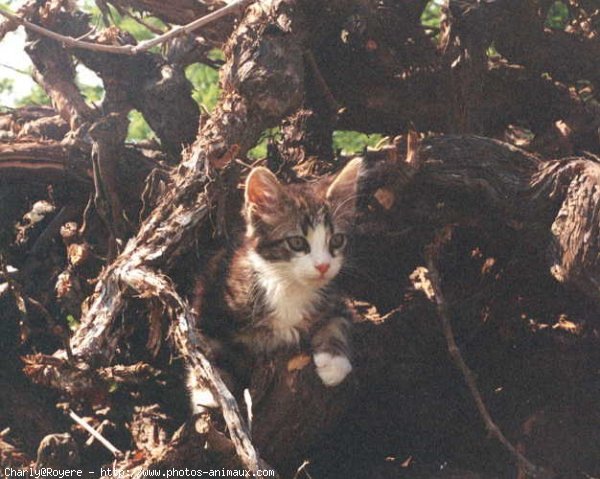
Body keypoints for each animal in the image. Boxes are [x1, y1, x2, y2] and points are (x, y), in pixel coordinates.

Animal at [188, 158, 360, 412]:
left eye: (337, 240)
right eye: (297, 242)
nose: (323, 266)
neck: (287, 283)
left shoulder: (336, 299)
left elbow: (338, 323)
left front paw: (334, 363)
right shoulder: (209, 302)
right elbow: (205, 346)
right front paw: (208, 389)